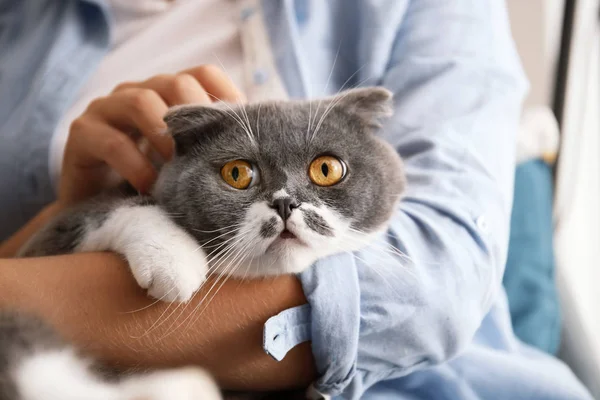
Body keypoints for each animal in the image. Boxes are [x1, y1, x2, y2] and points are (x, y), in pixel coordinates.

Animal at [3, 87, 404, 400]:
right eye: (237, 173)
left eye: (326, 169)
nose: (285, 202)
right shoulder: (51, 233)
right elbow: (114, 207)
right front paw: (173, 262)